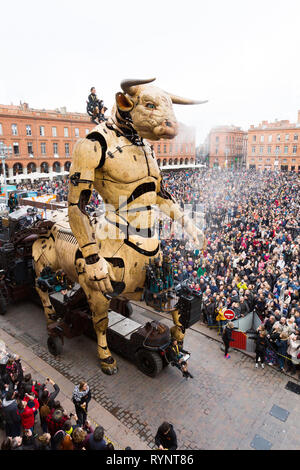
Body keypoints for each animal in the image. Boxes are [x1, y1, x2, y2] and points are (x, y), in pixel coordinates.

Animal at [32, 80, 206, 374]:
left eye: (170, 104)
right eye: (149, 104)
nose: (172, 125)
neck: (128, 135)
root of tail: (44, 224)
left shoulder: (153, 287)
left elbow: (176, 313)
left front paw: (178, 344)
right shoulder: (97, 290)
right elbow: (100, 322)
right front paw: (106, 357)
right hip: (44, 264)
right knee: (41, 286)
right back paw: (51, 320)